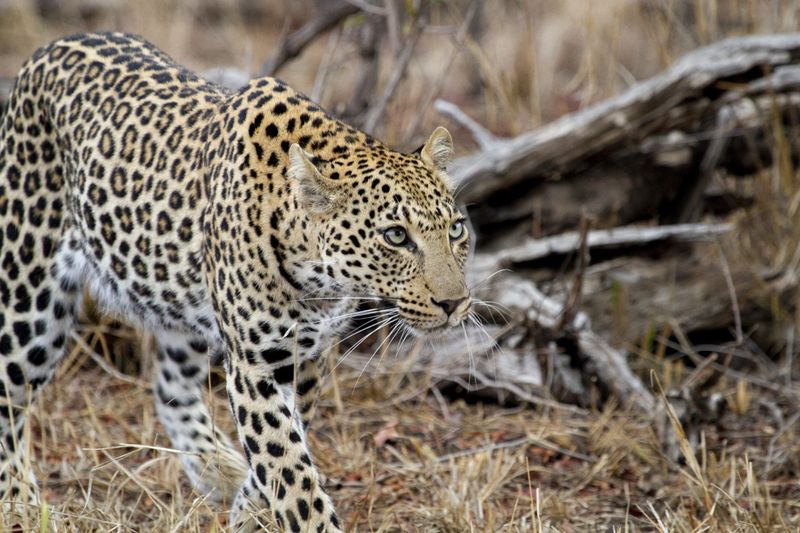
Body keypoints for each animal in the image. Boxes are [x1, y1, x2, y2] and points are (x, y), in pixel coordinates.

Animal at [0, 32, 472, 531]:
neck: (319, 282)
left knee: (169, 386)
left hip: (180, 304)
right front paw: (304, 518)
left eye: (455, 229)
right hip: (31, 295)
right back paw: (19, 500)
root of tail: (51, 46)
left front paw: (249, 508)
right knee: (9, 394)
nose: (456, 303)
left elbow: (283, 452)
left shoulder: (306, 359)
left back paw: (217, 468)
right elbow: (290, 470)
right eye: (396, 236)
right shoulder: (255, 365)